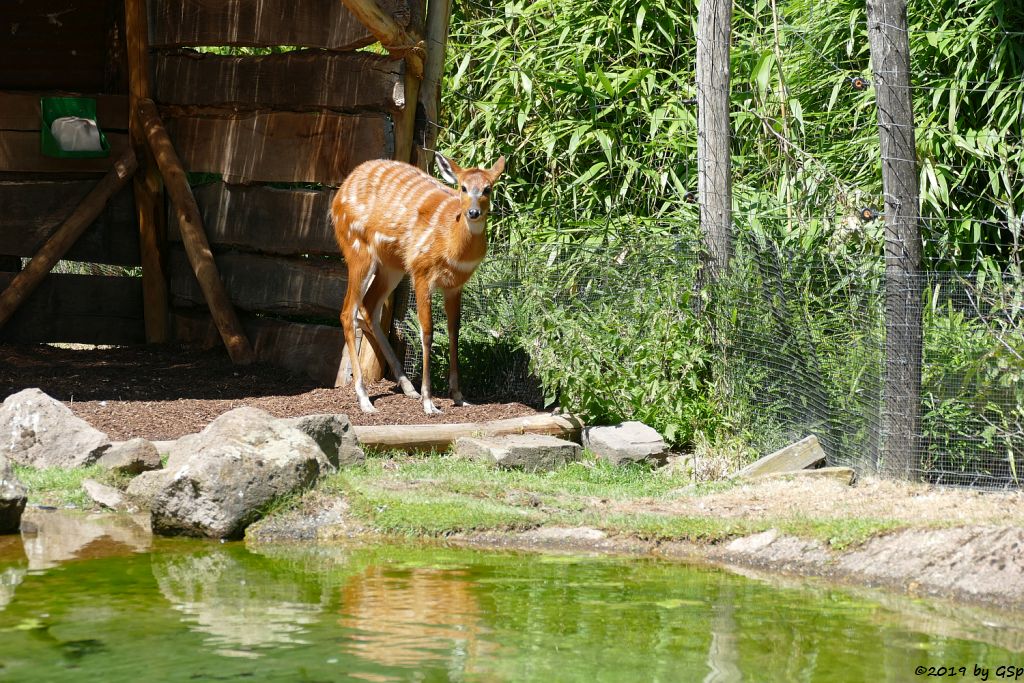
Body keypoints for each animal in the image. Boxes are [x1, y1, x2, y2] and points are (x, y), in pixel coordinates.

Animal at [331, 152, 503, 413]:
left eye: (488, 188)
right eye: (463, 187)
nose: (473, 212)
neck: (451, 245)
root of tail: (340, 193)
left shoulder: (454, 286)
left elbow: (454, 331)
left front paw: (459, 396)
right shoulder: (422, 274)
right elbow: (427, 331)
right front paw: (429, 402)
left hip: (392, 266)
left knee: (368, 307)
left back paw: (407, 388)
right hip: (358, 251)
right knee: (347, 312)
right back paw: (365, 399)